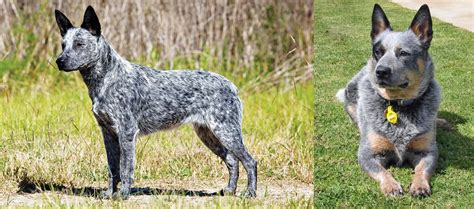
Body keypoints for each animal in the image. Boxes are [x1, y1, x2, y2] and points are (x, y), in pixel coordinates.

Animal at [53, 5, 258, 200]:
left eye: (79, 44)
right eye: (63, 45)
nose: (59, 61)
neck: (107, 78)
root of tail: (231, 85)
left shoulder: (126, 132)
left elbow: (125, 168)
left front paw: (123, 195)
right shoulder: (108, 133)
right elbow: (113, 169)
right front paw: (110, 193)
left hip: (226, 131)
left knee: (249, 161)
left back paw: (250, 193)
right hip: (208, 134)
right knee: (232, 160)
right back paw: (229, 190)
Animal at [336, 4, 440, 198]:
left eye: (403, 53)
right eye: (378, 52)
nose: (381, 71)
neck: (398, 105)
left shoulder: (428, 151)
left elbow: (422, 169)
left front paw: (419, 185)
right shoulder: (367, 154)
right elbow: (382, 171)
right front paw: (391, 185)